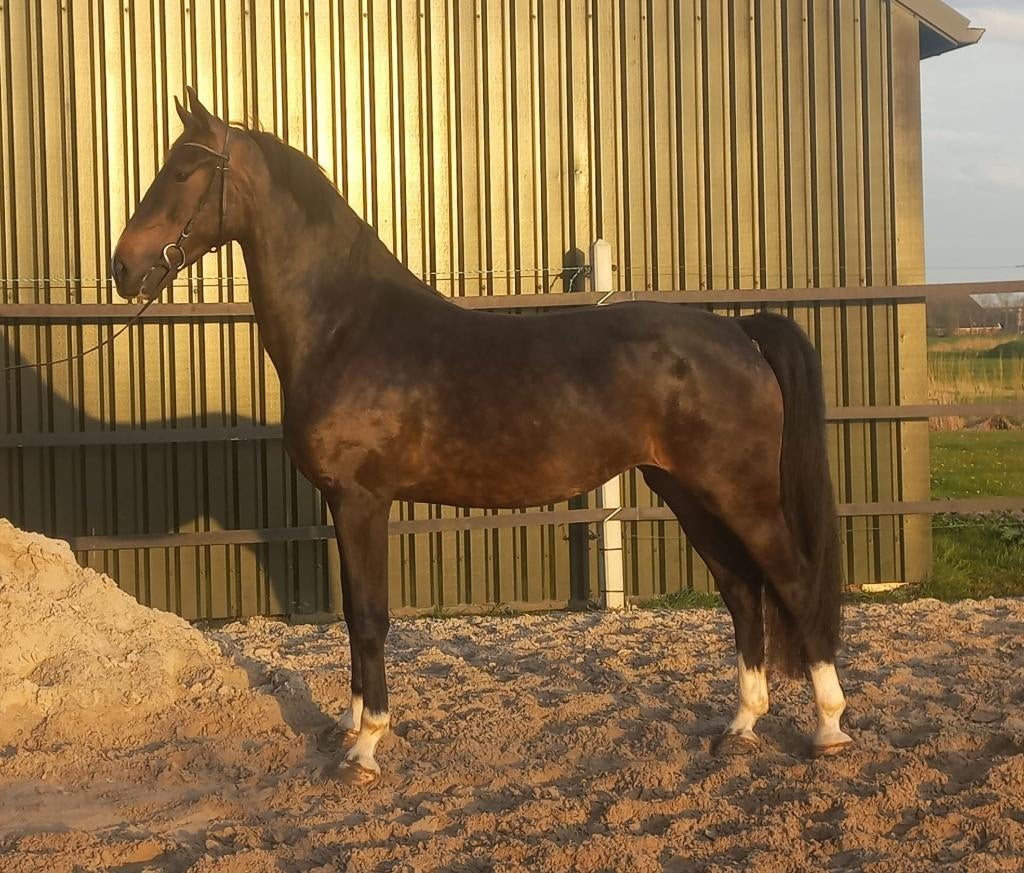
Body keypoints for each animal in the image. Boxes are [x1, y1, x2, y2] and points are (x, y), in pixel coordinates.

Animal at [111, 88, 852, 783]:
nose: (123, 267)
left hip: (740, 494)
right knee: (742, 590)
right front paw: (349, 725)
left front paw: (366, 747)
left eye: (181, 172)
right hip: (687, 491)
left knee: (792, 581)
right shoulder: (341, 504)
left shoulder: (361, 500)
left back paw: (828, 728)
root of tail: (738, 332)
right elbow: (351, 614)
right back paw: (741, 725)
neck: (347, 326)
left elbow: (371, 617)